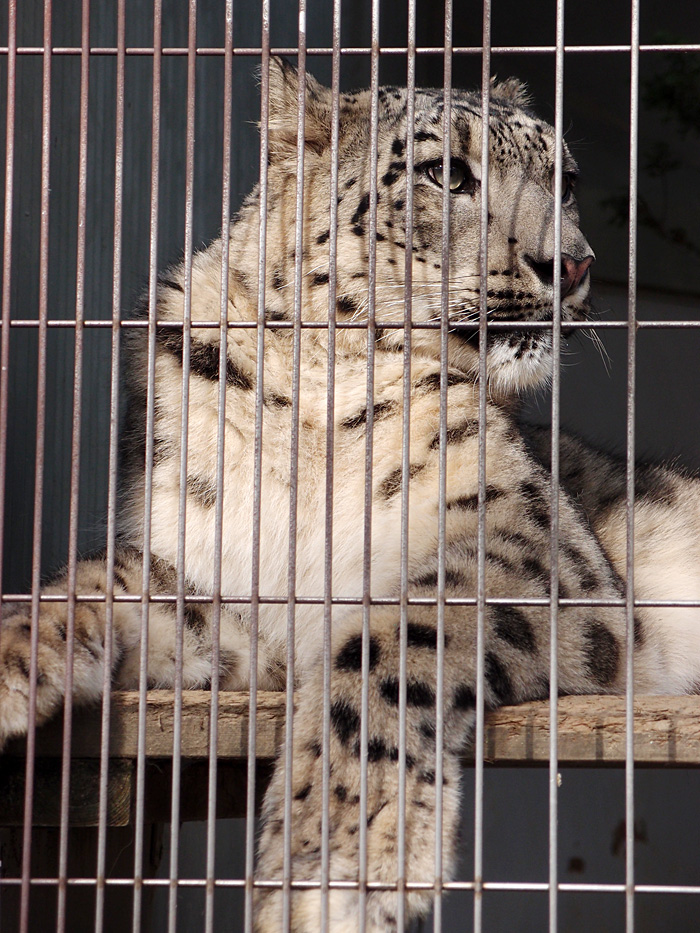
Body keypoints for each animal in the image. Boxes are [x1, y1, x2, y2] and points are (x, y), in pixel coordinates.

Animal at [1, 58, 700, 932]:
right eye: (446, 173)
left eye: (564, 181)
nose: (572, 262)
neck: (318, 396)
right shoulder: (236, 588)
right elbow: (102, 580)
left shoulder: (536, 544)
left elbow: (399, 633)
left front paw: (335, 859)